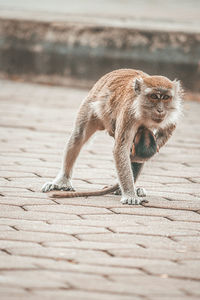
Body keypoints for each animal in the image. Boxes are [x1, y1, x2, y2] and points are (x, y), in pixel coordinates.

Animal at [42, 68, 183, 205]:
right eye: (154, 96)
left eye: (166, 97)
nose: (160, 110)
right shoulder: (128, 114)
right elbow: (120, 149)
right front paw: (129, 194)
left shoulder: (170, 117)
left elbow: (164, 133)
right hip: (93, 103)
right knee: (78, 136)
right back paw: (62, 181)